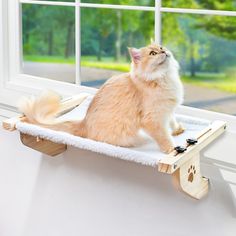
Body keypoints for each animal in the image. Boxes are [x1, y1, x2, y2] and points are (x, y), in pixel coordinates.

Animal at [18, 43, 184, 154]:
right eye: (153, 53)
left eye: (161, 47)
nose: (164, 51)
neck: (164, 78)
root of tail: (84, 123)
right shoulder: (152, 118)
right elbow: (163, 136)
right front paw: (172, 149)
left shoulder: (168, 111)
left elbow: (172, 122)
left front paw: (178, 130)